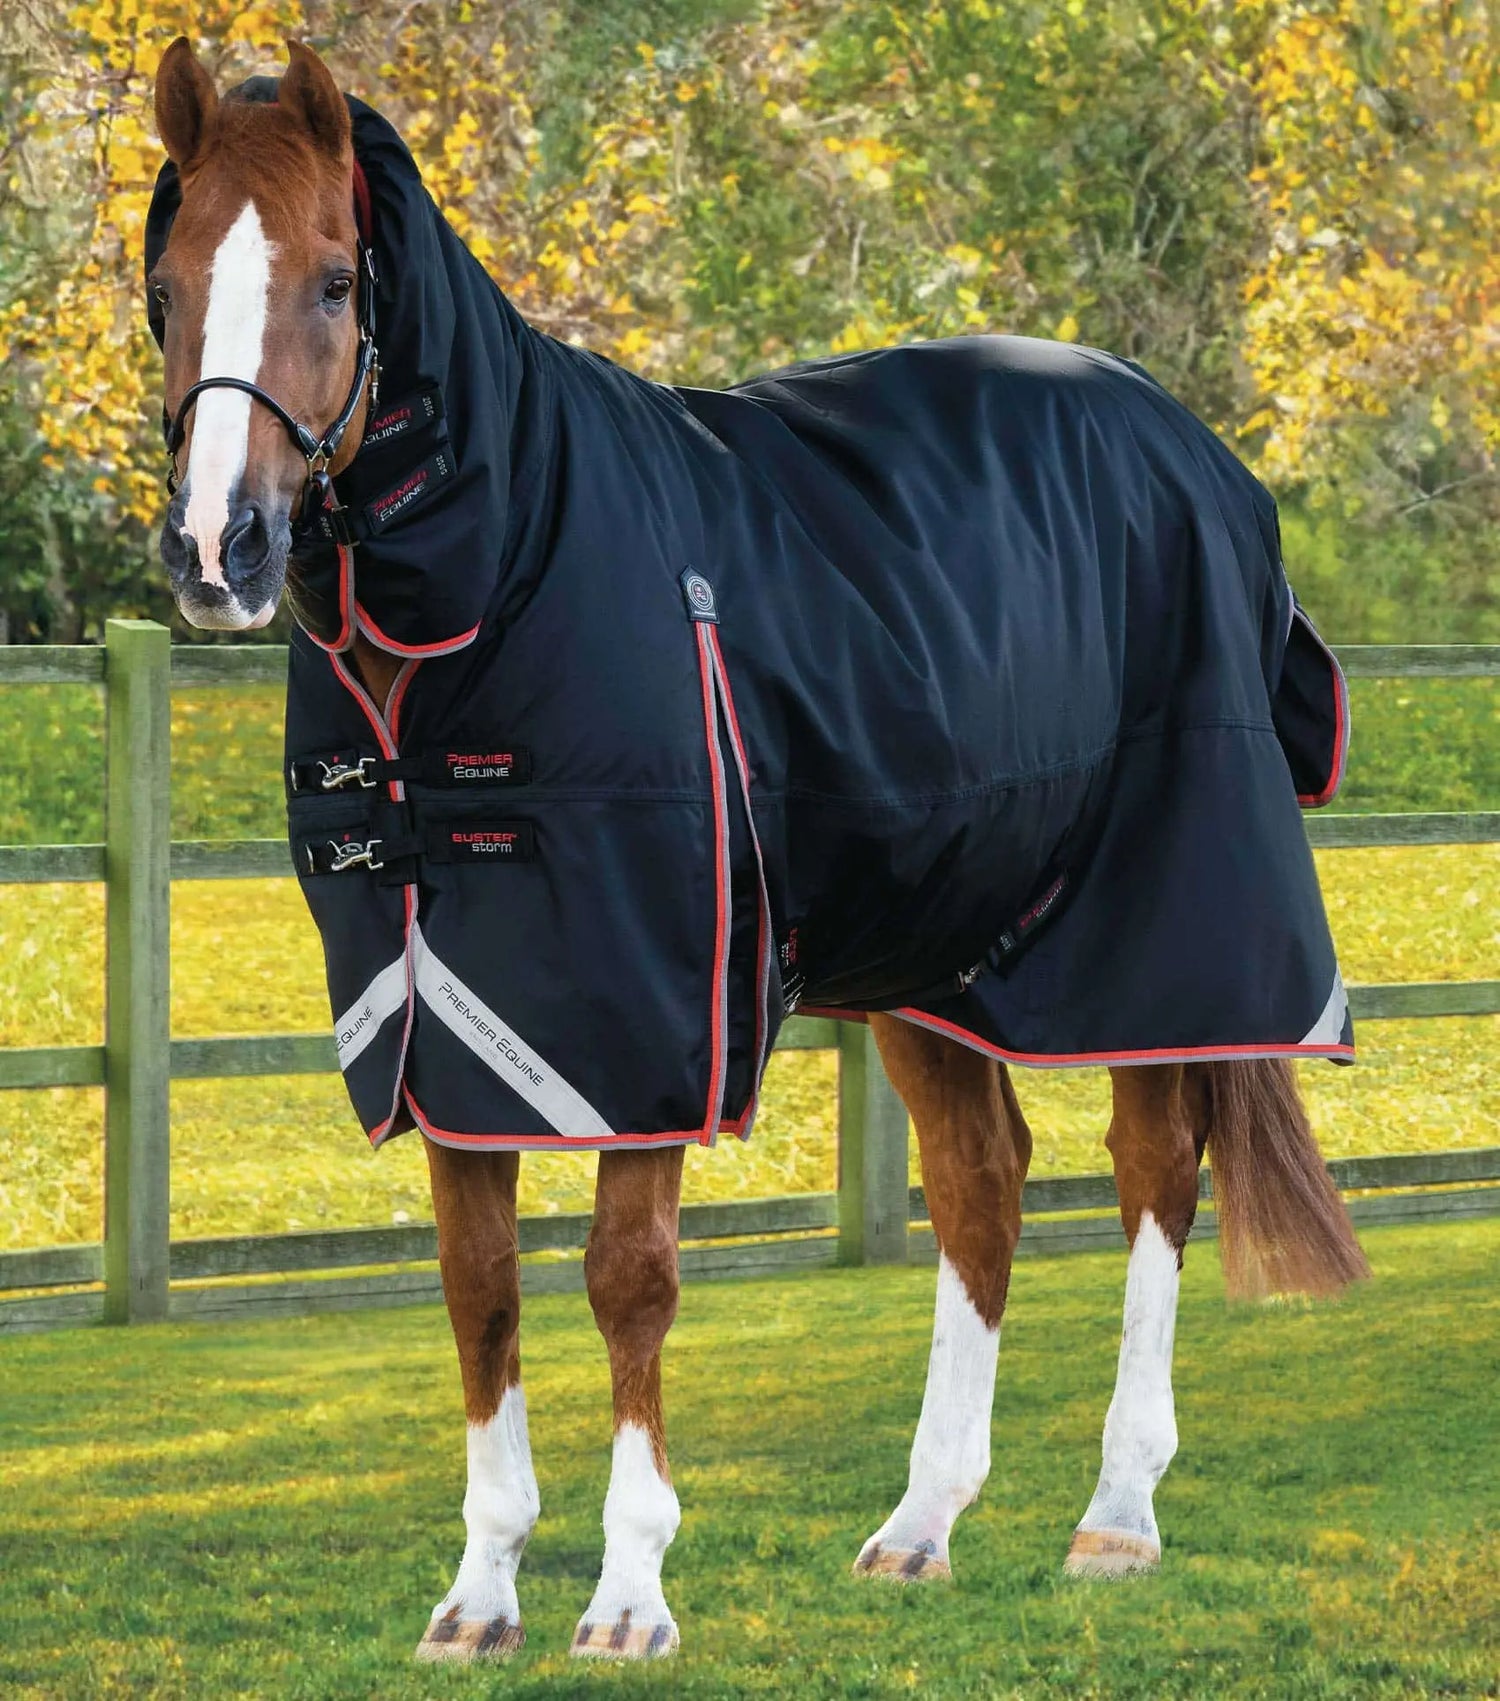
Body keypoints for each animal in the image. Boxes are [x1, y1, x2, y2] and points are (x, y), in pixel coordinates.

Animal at [146, 38, 1369, 1662]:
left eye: (339, 283)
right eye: (166, 287)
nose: (219, 550)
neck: (504, 572)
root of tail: (1197, 453)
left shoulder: (645, 1018)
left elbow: (625, 1283)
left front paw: (629, 1595)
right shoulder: (445, 1020)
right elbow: (479, 1287)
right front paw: (479, 1594)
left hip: (1162, 942)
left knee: (1156, 1170)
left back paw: (1116, 1516)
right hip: (937, 954)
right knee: (982, 1184)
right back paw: (920, 1527)